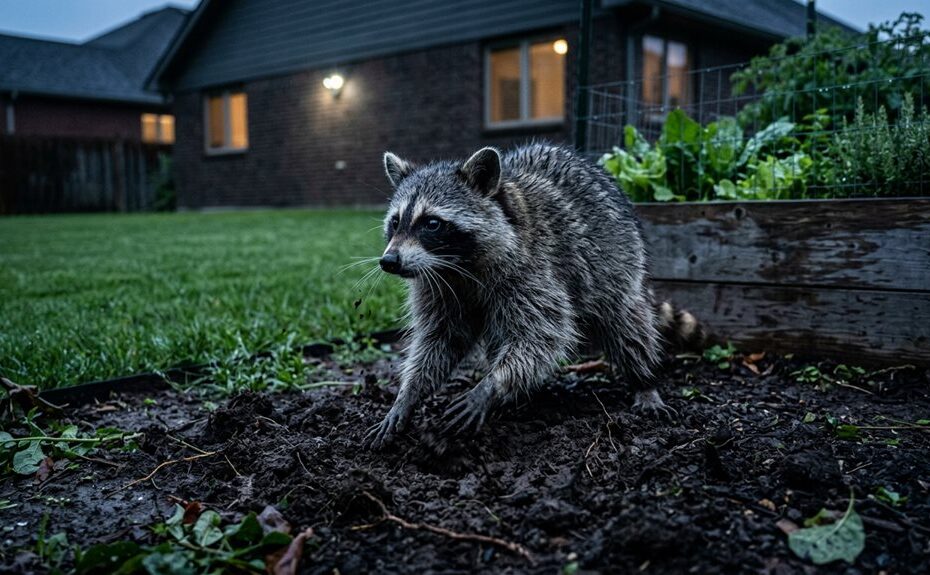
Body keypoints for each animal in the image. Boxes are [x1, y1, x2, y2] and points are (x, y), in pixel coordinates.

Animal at [366, 143, 699, 448]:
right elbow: (440, 339)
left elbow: (542, 334)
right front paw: (409, 394)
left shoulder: (533, 270)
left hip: (620, 261)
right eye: (395, 221)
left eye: (432, 223)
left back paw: (643, 380)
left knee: (627, 324)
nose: (389, 261)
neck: (457, 265)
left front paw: (493, 385)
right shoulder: (438, 285)